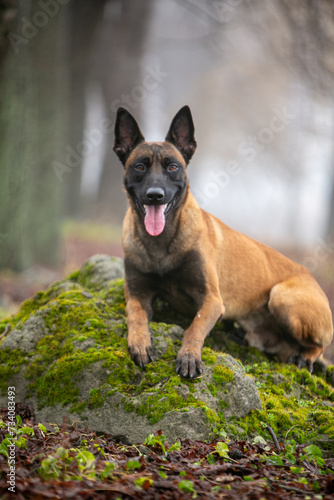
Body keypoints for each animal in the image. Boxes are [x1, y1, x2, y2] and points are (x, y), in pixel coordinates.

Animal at [113, 106, 332, 378]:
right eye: (140, 167)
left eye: (172, 167)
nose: (155, 196)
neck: (161, 245)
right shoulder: (137, 294)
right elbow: (135, 315)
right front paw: (140, 342)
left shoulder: (212, 299)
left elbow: (195, 327)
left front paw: (189, 356)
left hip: (281, 296)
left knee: (319, 346)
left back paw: (305, 357)